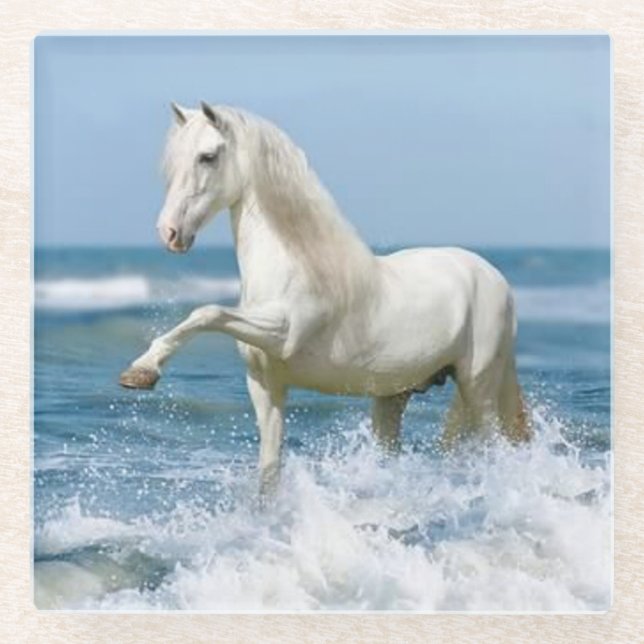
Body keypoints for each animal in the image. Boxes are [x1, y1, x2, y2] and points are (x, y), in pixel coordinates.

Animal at [119, 101, 531, 496]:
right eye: (173, 160)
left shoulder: (282, 333)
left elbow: (208, 312)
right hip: (393, 395)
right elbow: (269, 471)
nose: (170, 232)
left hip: (477, 387)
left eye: (207, 156)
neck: (292, 263)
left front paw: (143, 371)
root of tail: (495, 278)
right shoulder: (266, 385)